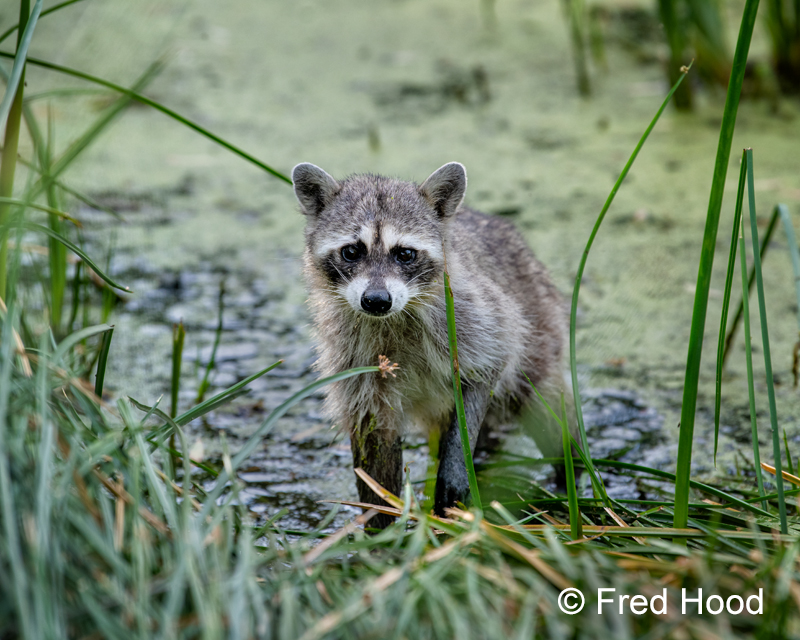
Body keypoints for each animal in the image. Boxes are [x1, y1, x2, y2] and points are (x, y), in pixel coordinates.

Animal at [292, 162, 573, 528]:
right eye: (352, 251)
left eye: (405, 254)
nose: (376, 301)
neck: (393, 317)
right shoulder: (351, 353)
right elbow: (373, 435)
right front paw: (380, 521)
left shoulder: (472, 316)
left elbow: (488, 367)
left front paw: (454, 468)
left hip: (541, 328)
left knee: (547, 414)